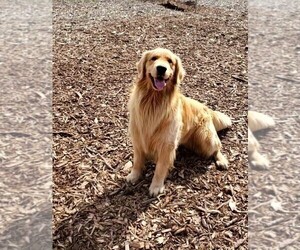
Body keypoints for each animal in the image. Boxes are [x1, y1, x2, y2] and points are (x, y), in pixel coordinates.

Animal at [125, 47, 231, 196]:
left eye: (170, 61)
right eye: (153, 58)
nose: (161, 68)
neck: (153, 101)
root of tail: (206, 108)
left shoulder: (167, 144)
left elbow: (160, 168)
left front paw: (156, 186)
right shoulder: (138, 137)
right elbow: (137, 161)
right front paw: (134, 175)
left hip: (206, 138)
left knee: (217, 147)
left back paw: (222, 160)